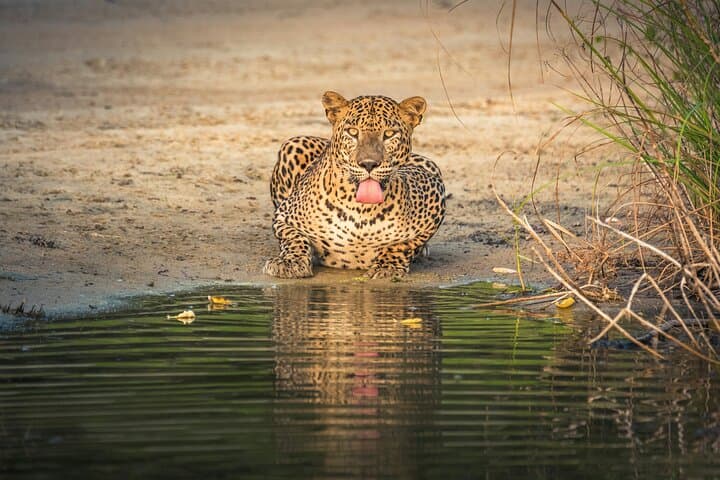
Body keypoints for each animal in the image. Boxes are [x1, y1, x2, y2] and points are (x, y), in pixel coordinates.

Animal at [263, 91, 446, 279]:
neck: (360, 210)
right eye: (352, 132)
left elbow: (403, 244)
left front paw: (387, 267)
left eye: (389, 134)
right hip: (293, 144)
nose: (368, 164)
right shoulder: (283, 216)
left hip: (430, 164)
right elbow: (294, 238)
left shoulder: (434, 193)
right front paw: (289, 263)